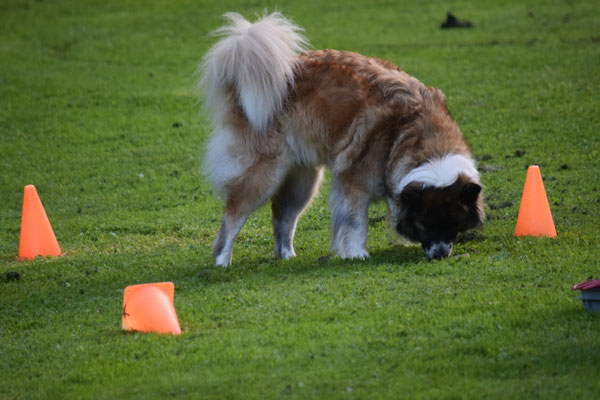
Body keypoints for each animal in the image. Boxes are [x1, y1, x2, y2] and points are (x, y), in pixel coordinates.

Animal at [197, 11, 482, 266]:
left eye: (455, 224)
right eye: (425, 224)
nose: (441, 255)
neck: (409, 133)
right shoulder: (354, 183)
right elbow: (355, 224)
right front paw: (356, 253)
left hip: (303, 181)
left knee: (282, 217)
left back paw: (287, 256)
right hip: (262, 175)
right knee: (233, 216)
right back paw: (222, 260)